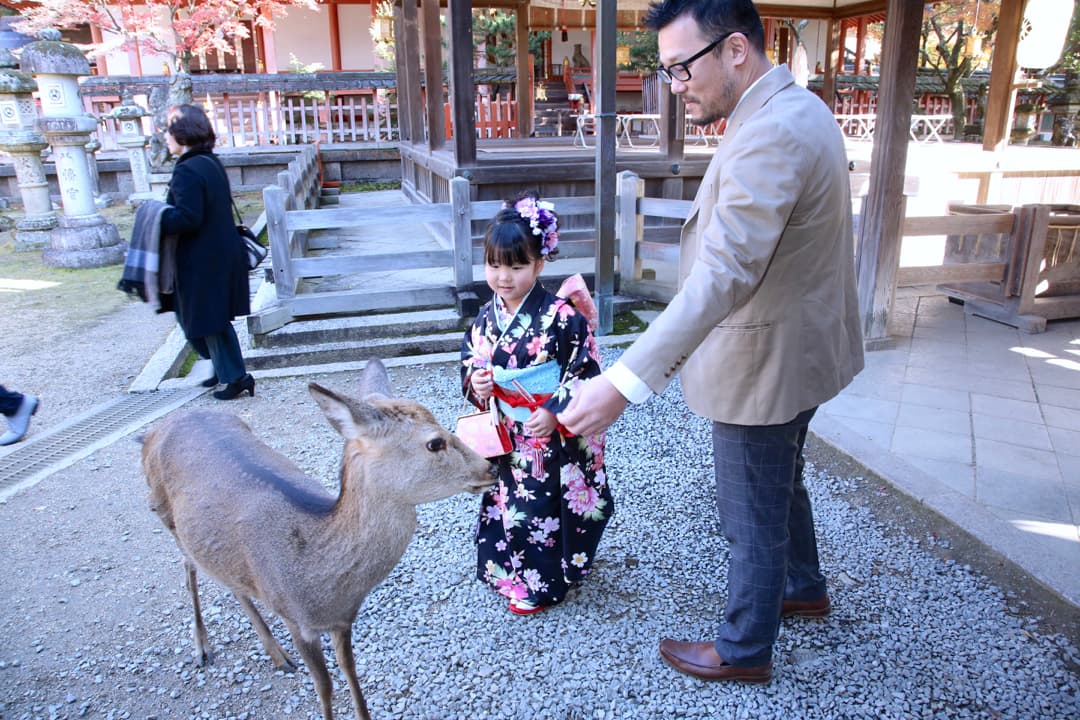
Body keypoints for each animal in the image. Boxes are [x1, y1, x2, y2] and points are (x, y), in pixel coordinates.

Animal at [141, 360, 494, 720]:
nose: (489, 467)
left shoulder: (343, 620)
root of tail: (153, 432)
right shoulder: (294, 618)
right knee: (189, 568)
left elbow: (350, 671)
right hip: (164, 513)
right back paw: (203, 648)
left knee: (229, 580)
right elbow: (324, 686)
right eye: (434, 443)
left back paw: (277, 655)